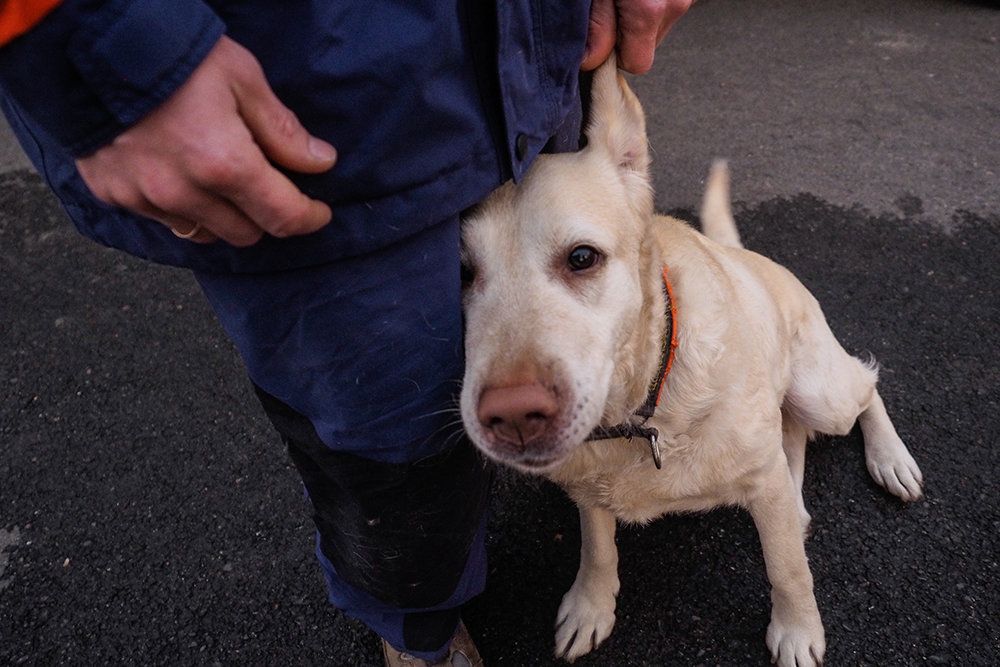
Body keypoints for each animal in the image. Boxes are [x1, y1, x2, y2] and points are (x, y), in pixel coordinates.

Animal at [458, 58, 924, 667]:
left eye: (582, 257)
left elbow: (788, 571)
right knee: (793, 436)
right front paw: (590, 607)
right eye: (461, 274)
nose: (512, 417)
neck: (643, 411)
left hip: (824, 391)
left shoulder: (763, 483)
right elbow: (597, 546)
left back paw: (891, 459)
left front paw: (797, 630)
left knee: (866, 387)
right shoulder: (589, 486)